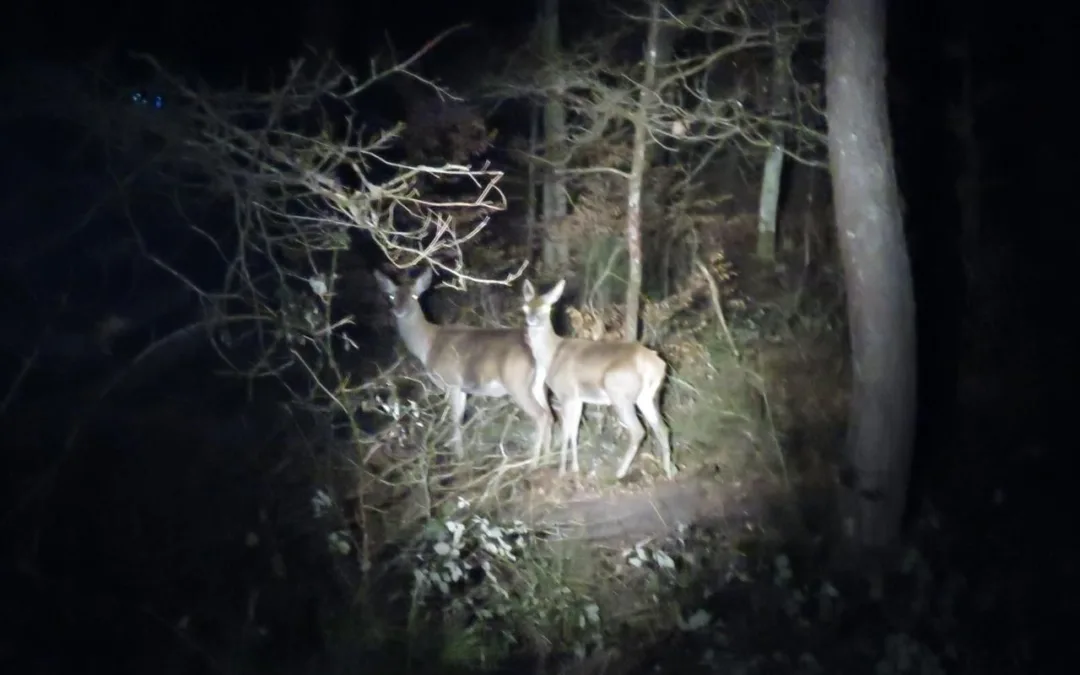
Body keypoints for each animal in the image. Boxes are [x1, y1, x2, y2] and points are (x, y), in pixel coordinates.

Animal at [374, 268, 553, 463]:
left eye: (415, 295)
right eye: (392, 295)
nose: (398, 310)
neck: (429, 344)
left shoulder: (451, 382)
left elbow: (454, 420)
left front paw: (457, 457)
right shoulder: (462, 388)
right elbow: (460, 419)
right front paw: (462, 455)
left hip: (517, 384)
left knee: (541, 415)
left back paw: (532, 462)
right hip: (538, 385)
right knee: (550, 414)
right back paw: (548, 458)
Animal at [521, 279, 674, 480]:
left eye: (547, 307)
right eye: (525, 307)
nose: (531, 319)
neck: (552, 355)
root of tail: (656, 364)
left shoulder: (566, 393)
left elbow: (566, 432)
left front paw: (562, 471)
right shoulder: (578, 399)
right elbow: (574, 431)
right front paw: (575, 468)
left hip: (619, 393)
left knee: (638, 430)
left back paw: (620, 472)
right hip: (648, 396)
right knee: (663, 428)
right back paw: (670, 471)